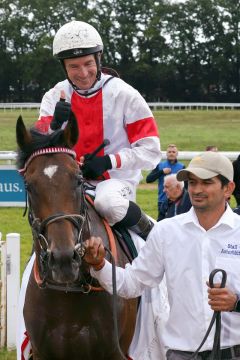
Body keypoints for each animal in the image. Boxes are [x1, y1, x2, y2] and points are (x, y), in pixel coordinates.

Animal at [15, 113, 138, 360]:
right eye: (29, 186)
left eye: (78, 179)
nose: (63, 259)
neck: (68, 294)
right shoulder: (43, 353)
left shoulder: (115, 352)